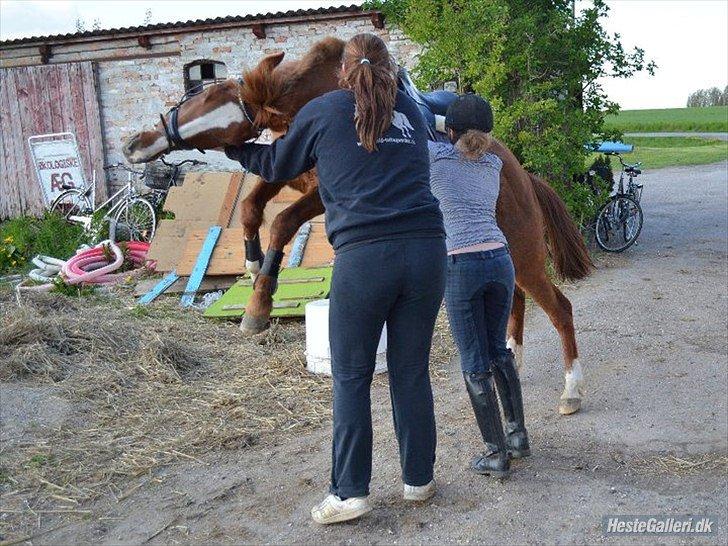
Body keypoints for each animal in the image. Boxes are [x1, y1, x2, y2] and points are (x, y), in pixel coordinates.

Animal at [122, 37, 596, 412]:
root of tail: (520, 172)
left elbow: (282, 223)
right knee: (515, 299)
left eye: (207, 100)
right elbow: (252, 206)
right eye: (194, 96)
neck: (311, 99)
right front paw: (253, 263)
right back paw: (510, 360)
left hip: (525, 251)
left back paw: (572, 389)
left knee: (559, 308)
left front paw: (258, 306)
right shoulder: (290, 170)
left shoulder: (323, 193)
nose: (135, 143)